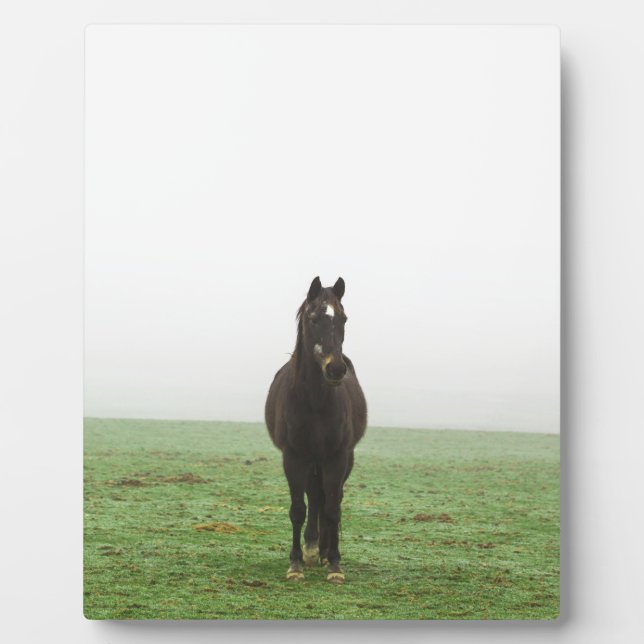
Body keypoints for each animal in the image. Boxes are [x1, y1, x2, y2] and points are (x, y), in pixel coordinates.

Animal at [265, 276, 367, 584]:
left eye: (343, 318)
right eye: (313, 319)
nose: (335, 369)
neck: (314, 401)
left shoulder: (337, 456)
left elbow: (332, 508)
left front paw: (334, 564)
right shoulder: (294, 456)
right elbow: (299, 509)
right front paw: (296, 564)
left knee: (329, 499)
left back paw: (322, 552)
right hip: (311, 460)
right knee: (314, 495)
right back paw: (312, 549)